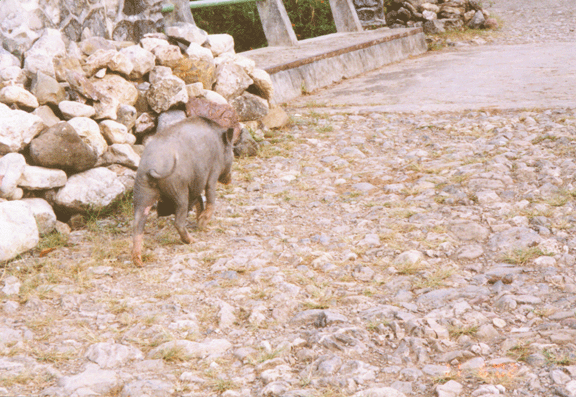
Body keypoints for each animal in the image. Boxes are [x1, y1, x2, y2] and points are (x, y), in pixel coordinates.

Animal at [132, 117, 234, 266]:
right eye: (232, 151)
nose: (229, 180)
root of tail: (152, 167)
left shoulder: (195, 186)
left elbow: (199, 202)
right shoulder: (213, 173)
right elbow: (210, 199)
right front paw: (204, 225)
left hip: (142, 191)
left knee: (137, 225)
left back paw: (139, 262)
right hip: (178, 190)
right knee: (179, 222)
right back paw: (192, 241)